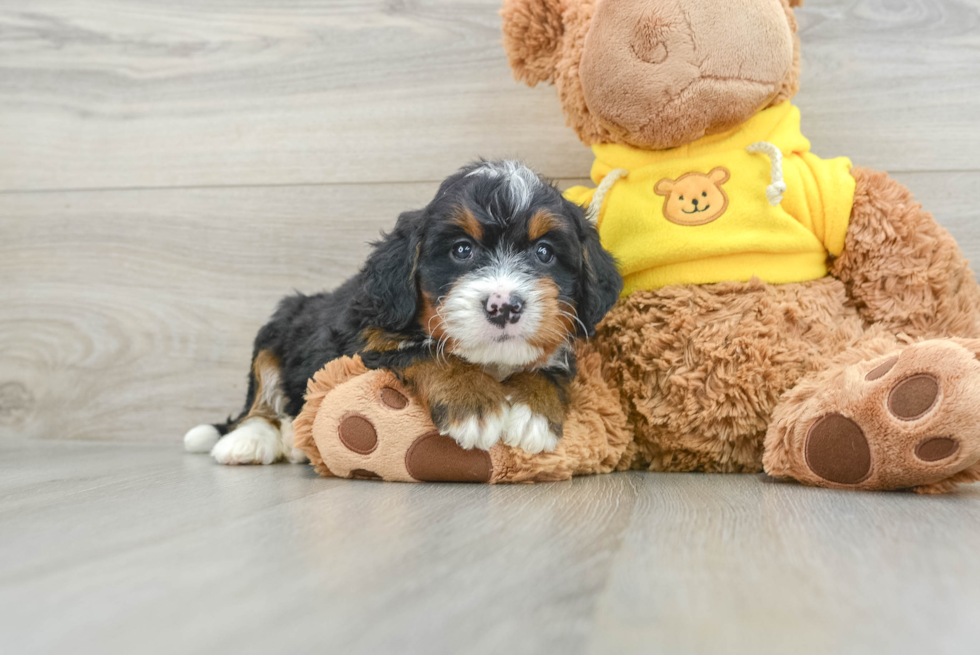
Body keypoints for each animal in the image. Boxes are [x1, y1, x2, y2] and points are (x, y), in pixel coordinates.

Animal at [182, 161, 620, 464]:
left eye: (544, 253)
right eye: (462, 250)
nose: (504, 306)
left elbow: (549, 368)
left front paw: (533, 413)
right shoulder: (367, 340)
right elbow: (427, 352)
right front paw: (474, 403)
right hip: (276, 328)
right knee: (260, 398)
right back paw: (251, 440)